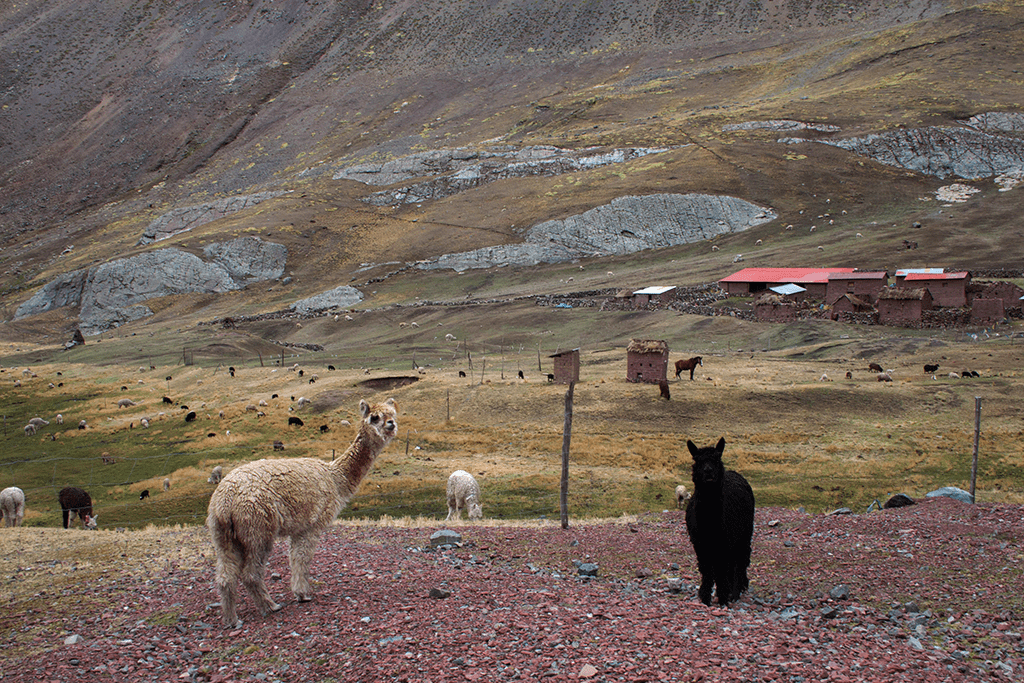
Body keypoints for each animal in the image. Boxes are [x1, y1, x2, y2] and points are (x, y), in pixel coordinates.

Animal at [206, 397, 395, 626]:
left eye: (392, 413)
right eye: (374, 417)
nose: (391, 424)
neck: (335, 478)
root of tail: (224, 501)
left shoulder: (299, 527)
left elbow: (295, 558)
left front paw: (299, 592)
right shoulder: (311, 524)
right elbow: (302, 559)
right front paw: (303, 594)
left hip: (222, 534)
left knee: (225, 576)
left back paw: (232, 619)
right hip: (256, 527)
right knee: (251, 573)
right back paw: (270, 607)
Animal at [684, 440, 757, 606]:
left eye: (717, 459)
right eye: (697, 460)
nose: (708, 471)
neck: (710, 525)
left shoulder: (724, 542)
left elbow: (721, 569)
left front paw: (723, 598)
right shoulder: (700, 543)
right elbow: (706, 569)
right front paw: (705, 598)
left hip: (745, 532)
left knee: (741, 559)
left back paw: (737, 590)